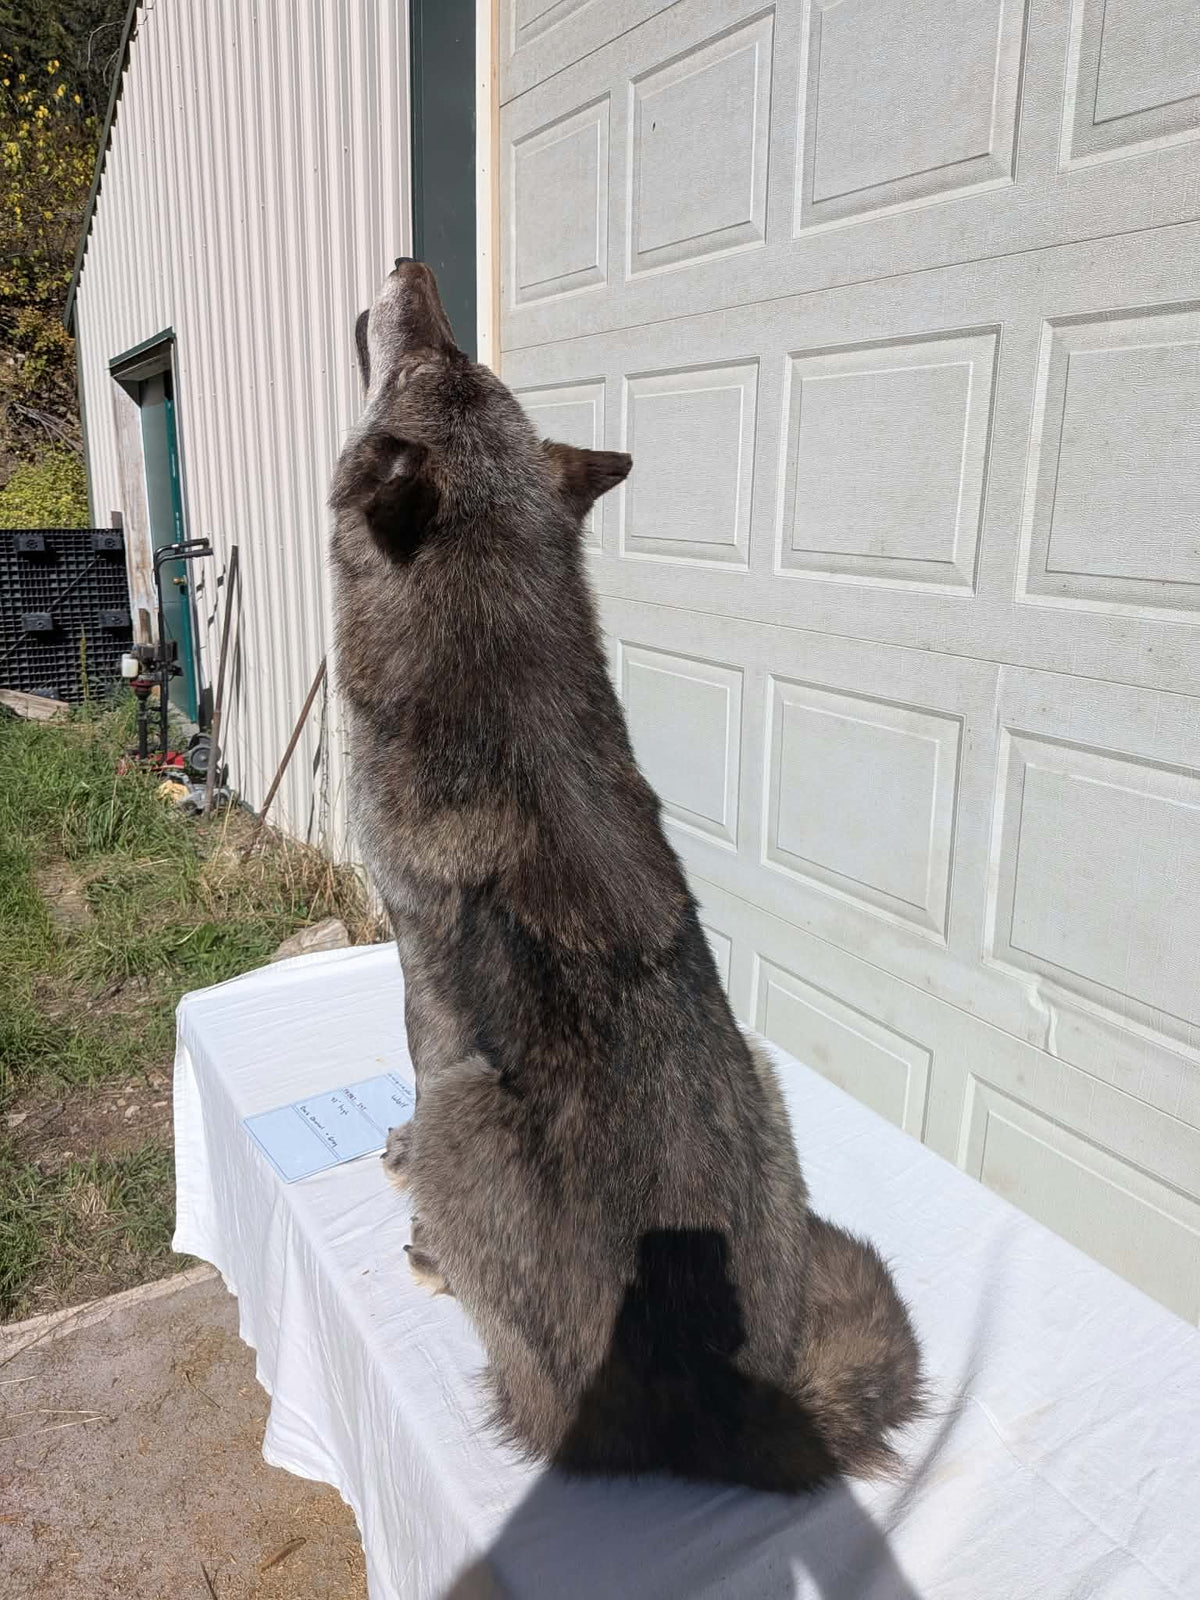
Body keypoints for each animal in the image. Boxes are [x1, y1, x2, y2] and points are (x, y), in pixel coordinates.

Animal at [329, 260, 922, 1492]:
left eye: (429, 367)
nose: (414, 265)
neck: (487, 618)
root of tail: (725, 1398)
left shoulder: (417, 961)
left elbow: (416, 1059)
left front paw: (405, 1185)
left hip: (473, 1117)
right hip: (764, 1068)